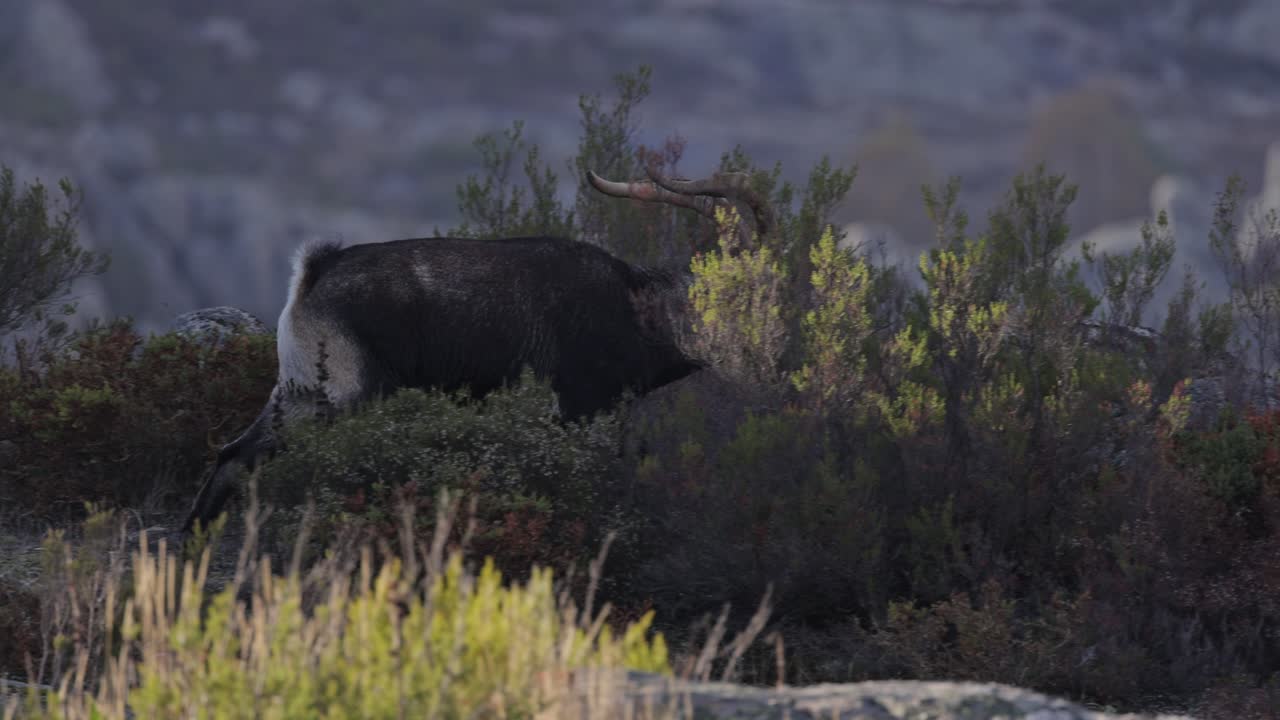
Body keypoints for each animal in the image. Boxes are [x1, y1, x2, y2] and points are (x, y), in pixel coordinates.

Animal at [182, 166, 773, 533]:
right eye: (740, 293)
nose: (759, 357)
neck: (635, 304)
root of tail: (313, 274)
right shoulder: (581, 410)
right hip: (344, 396)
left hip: (299, 392)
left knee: (233, 454)